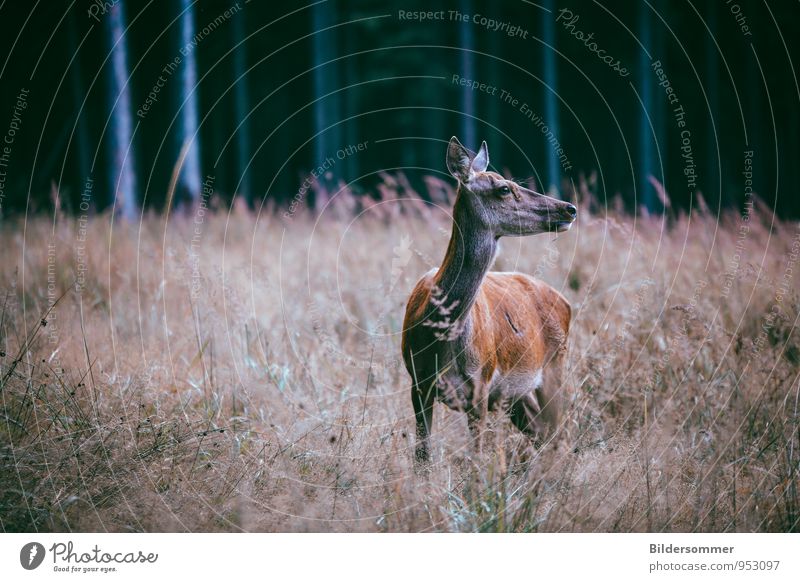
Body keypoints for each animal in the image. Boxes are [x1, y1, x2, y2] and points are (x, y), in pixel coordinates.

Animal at [400, 137, 576, 466]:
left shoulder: (480, 387)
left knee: (560, 436)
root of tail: (567, 303)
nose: (569, 208)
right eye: (504, 188)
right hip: (519, 395)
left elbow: (477, 458)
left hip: (555, 366)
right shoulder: (418, 384)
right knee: (544, 435)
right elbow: (422, 457)